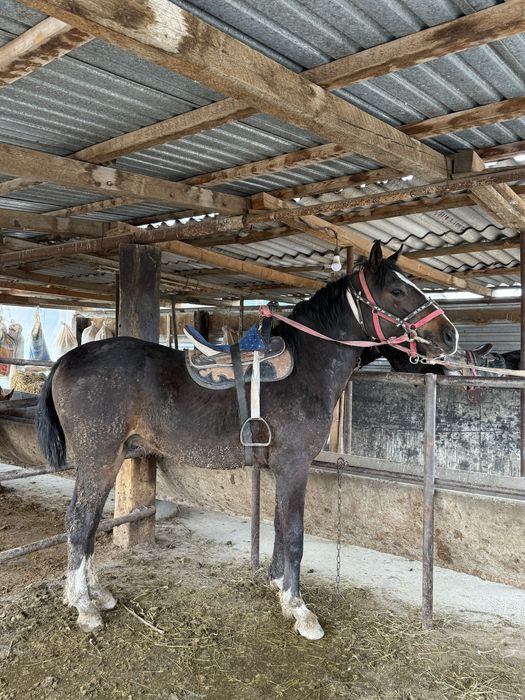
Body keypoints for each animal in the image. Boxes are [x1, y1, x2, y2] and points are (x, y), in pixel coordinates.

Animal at [35, 241, 458, 640]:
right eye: (396, 290)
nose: (449, 335)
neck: (307, 367)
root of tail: (67, 360)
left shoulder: (281, 471)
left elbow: (279, 527)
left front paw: (280, 588)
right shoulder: (294, 467)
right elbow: (294, 535)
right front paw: (299, 609)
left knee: (88, 523)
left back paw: (95, 594)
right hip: (99, 458)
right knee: (80, 521)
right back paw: (84, 605)